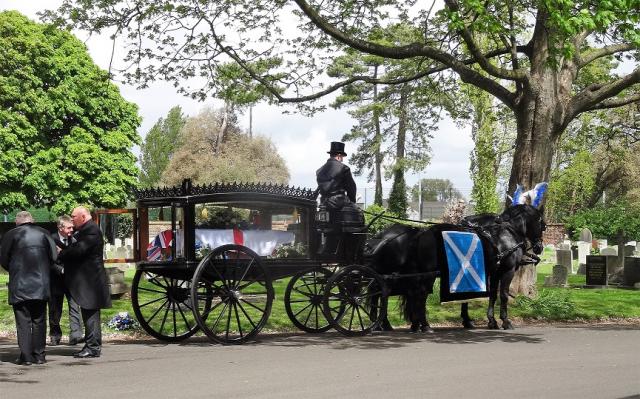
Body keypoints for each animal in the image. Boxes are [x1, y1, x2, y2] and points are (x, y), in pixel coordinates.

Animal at [370, 205, 544, 332]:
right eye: (542, 224)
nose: (539, 247)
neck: (503, 235)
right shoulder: (507, 270)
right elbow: (503, 295)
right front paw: (505, 321)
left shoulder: (493, 272)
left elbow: (491, 295)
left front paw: (491, 321)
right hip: (419, 275)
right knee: (413, 294)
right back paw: (419, 325)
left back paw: (402, 324)